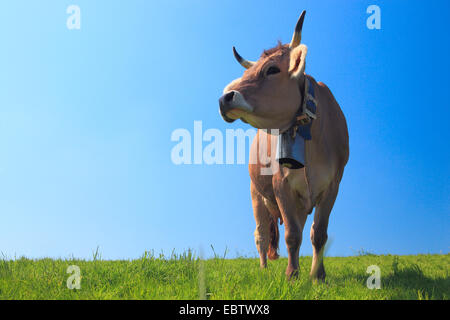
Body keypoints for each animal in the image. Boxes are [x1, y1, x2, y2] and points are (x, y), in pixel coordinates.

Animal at [218, 11, 348, 278]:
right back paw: (264, 269)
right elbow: (291, 235)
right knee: (261, 235)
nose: (224, 98)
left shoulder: (333, 185)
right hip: (256, 194)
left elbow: (318, 234)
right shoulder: (281, 184)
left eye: (272, 69)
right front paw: (291, 276)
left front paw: (317, 276)